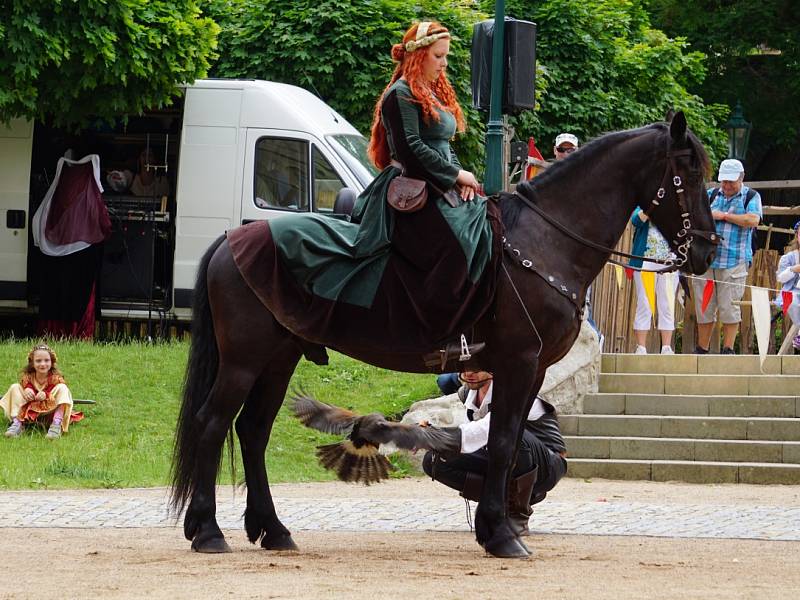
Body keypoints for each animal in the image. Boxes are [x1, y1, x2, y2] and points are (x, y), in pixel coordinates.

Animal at [169, 111, 720, 556]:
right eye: (688, 171)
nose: (708, 250)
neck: (542, 242)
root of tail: (232, 237)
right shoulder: (519, 361)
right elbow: (502, 440)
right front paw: (501, 536)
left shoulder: (532, 371)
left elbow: (508, 441)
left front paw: (499, 527)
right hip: (244, 361)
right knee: (213, 423)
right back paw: (207, 531)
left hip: (278, 360)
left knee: (252, 431)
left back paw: (272, 529)